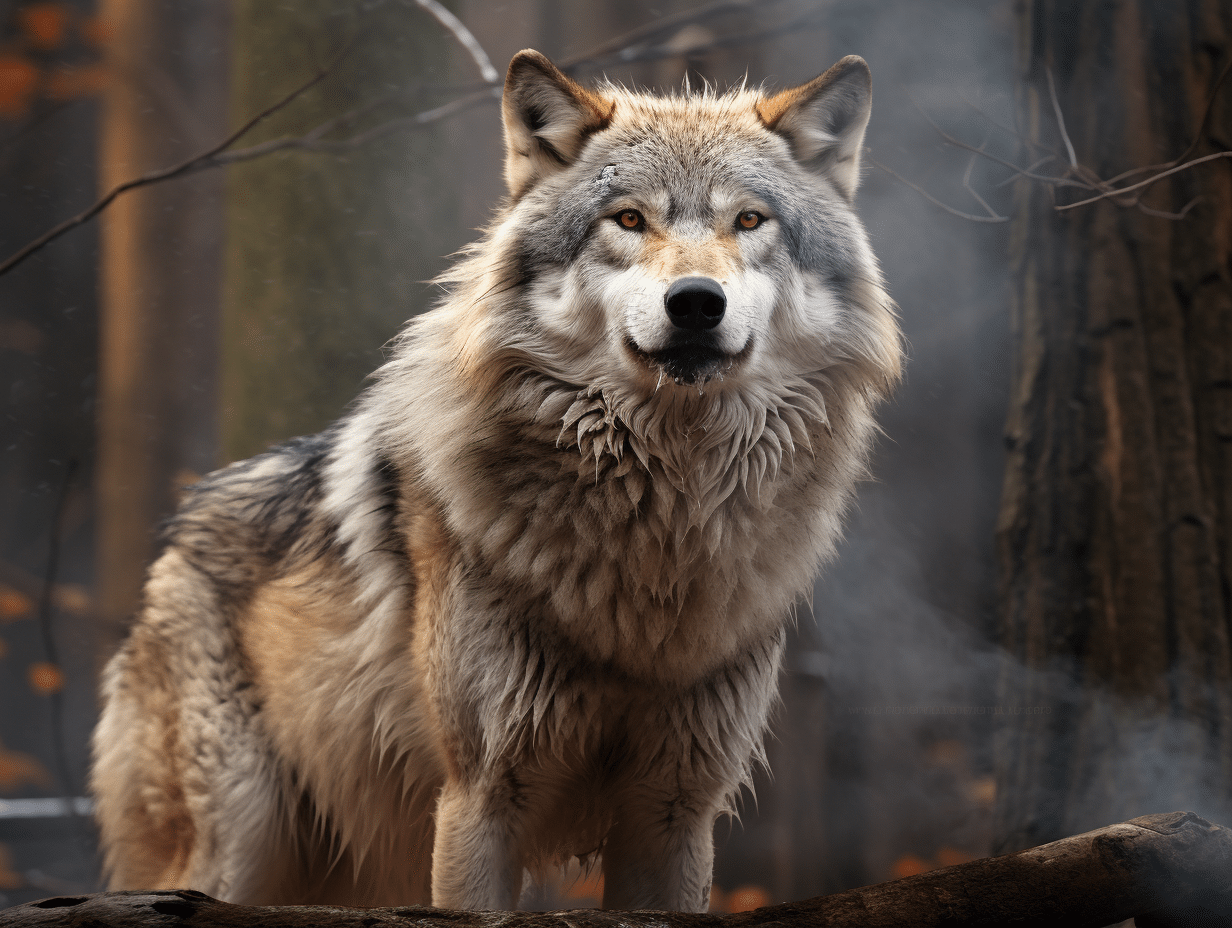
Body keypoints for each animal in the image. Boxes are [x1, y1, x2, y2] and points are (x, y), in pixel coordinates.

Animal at [91, 49, 901, 912]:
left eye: (750, 221)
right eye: (628, 220)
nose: (694, 303)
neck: (657, 537)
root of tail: (178, 531)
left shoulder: (676, 811)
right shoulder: (481, 798)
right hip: (239, 846)